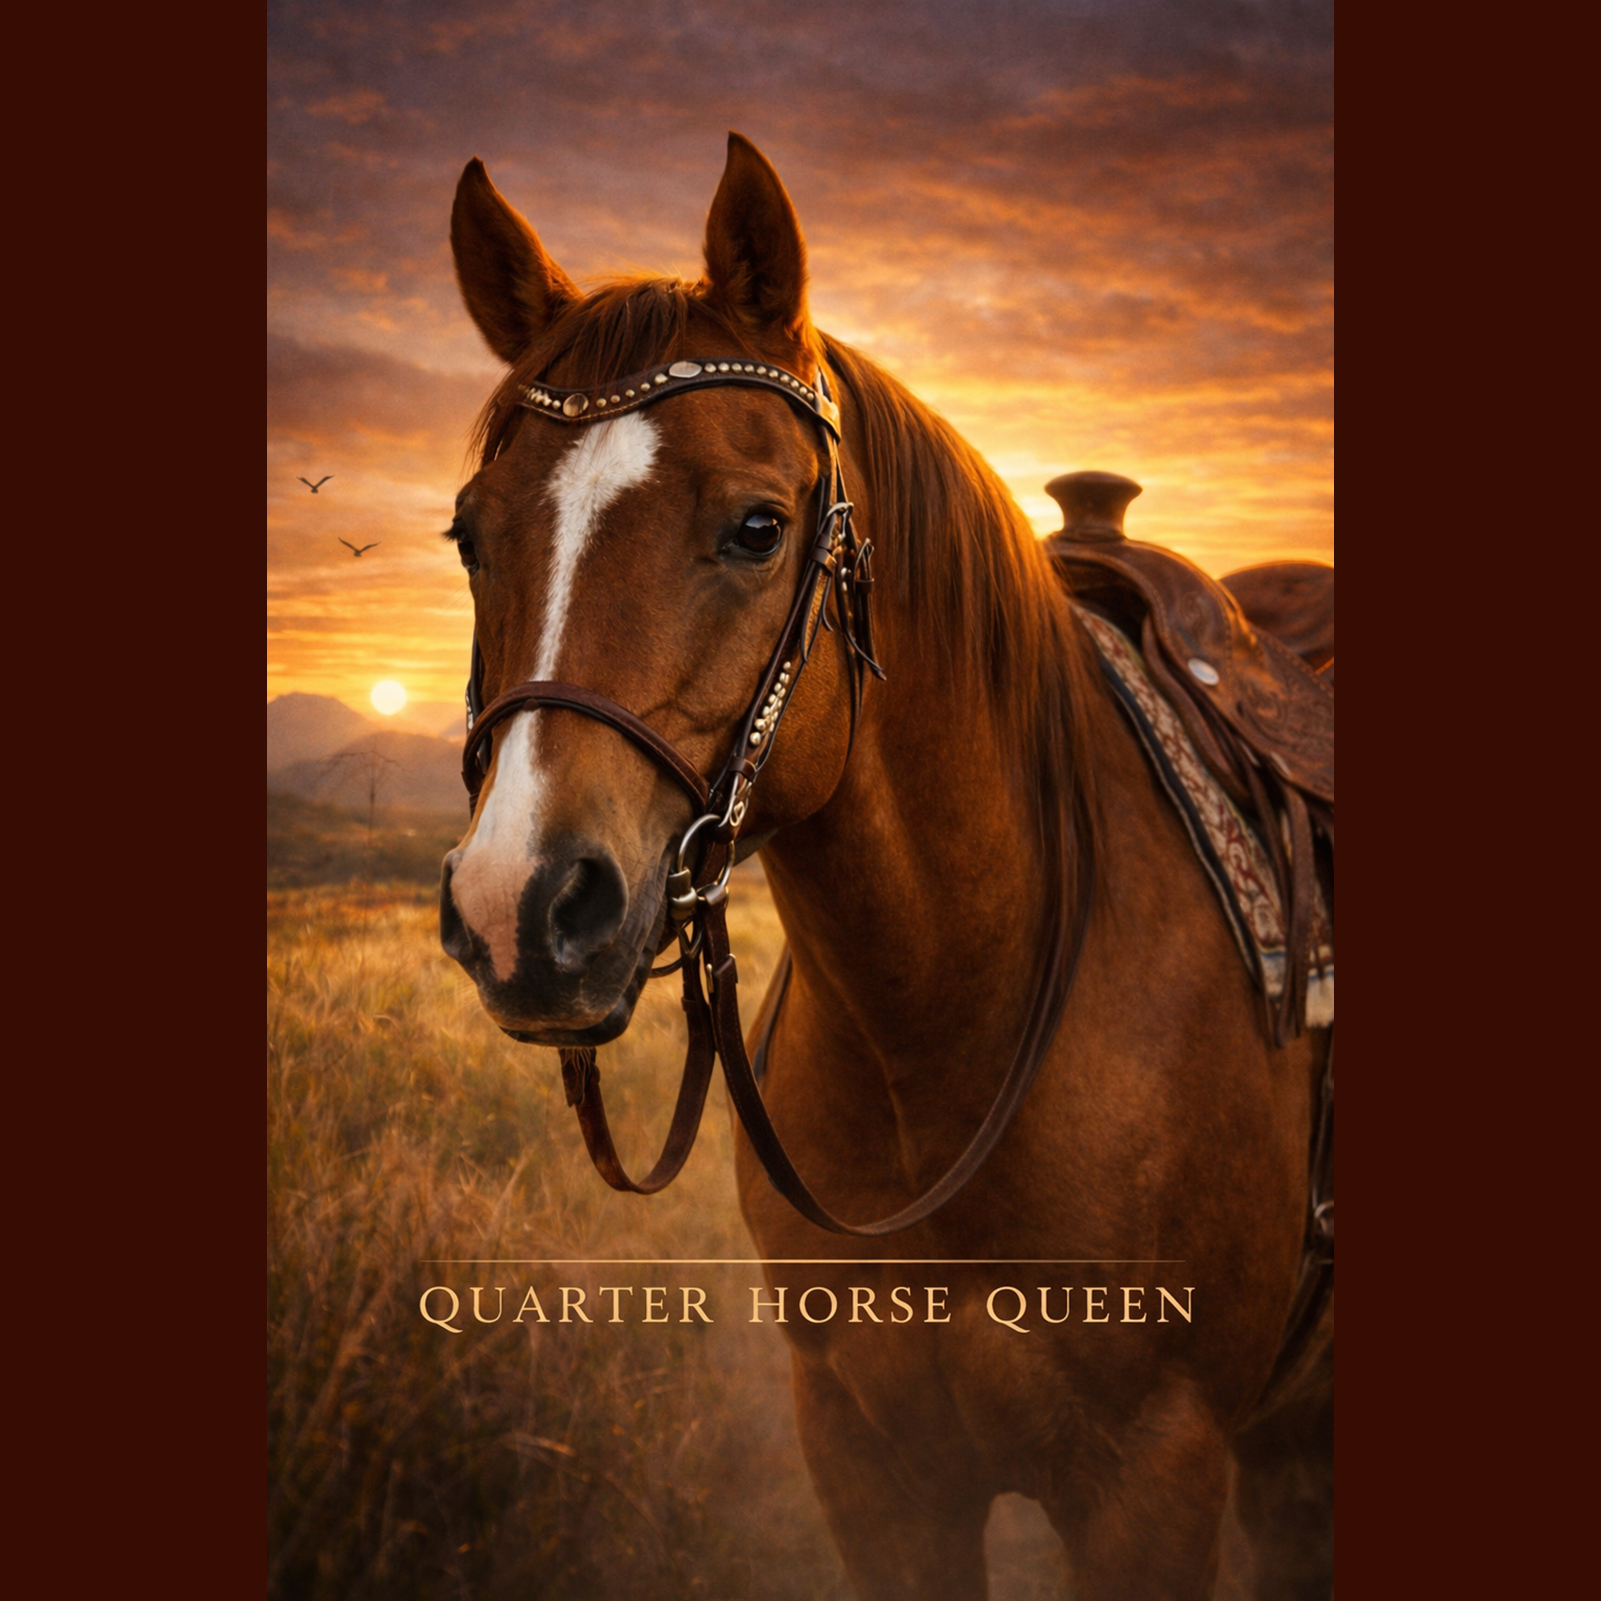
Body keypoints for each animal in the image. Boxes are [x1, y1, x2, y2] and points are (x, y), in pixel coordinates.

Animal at [437, 132, 1333, 1601]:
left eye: (756, 527)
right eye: (470, 533)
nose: (522, 906)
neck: (949, 1031)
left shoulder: (1150, 1479)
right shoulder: (871, 1465)